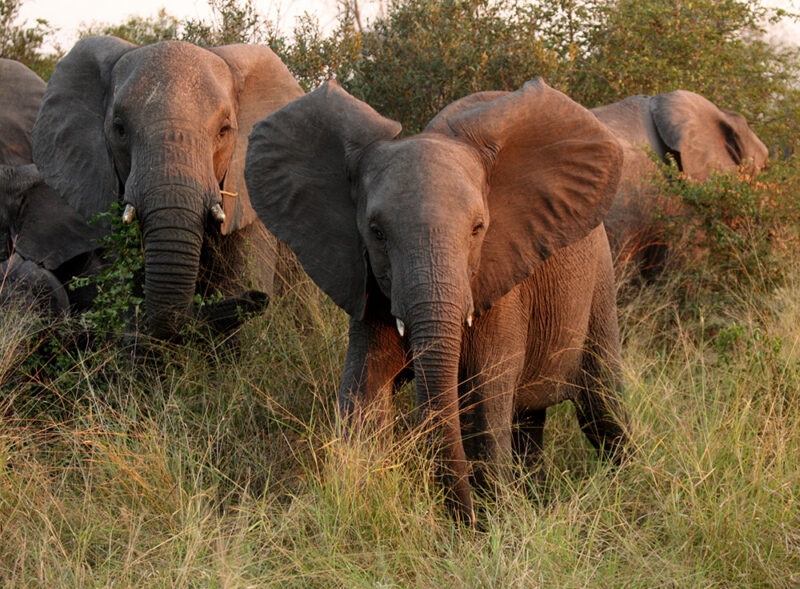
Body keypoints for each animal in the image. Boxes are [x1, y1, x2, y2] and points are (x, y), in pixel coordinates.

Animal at [244, 79, 629, 524]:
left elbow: (483, 406)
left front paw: (493, 524)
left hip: (600, 281)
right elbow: (363, 393)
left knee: (603, 407)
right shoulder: (370, 285)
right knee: (529, 418)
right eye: (376, 232)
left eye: (479, 228)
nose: (464, 521)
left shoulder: (501, 283)